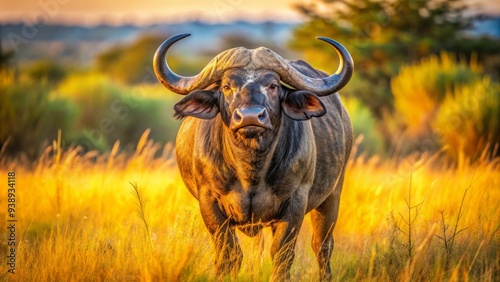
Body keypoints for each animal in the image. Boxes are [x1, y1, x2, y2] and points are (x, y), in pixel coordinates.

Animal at [154, 33, 354, 280]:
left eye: (273, 85)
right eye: (227, 86)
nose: (250, 116)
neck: (250, 169)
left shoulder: (296, 201)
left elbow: (282, 254)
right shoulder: (209, 201)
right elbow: (229, 253)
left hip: (333, 194)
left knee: (322, 246)